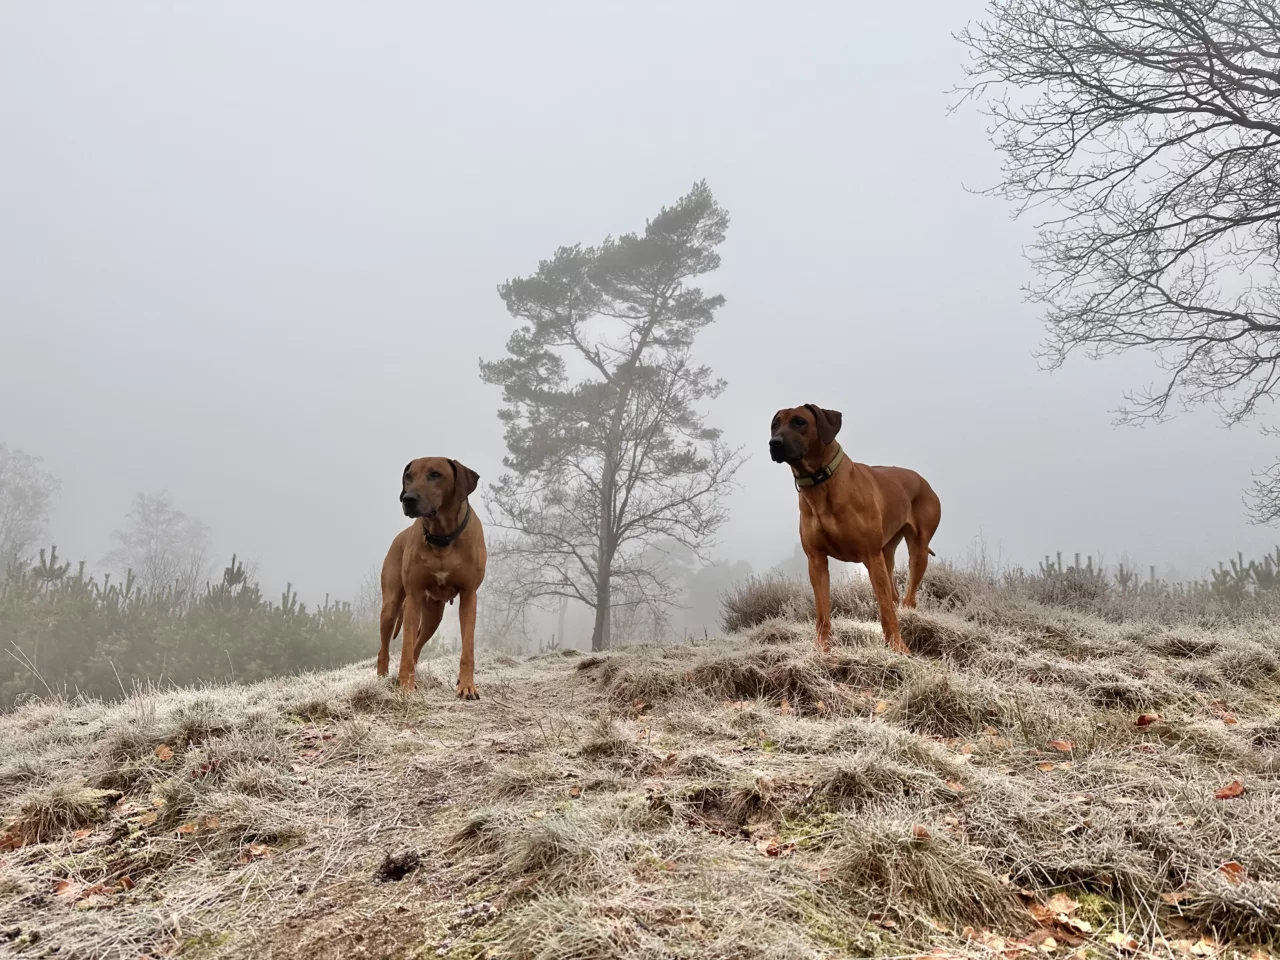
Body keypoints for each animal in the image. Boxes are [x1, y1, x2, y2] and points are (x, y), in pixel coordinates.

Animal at [376, 458, 486, 701]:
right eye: (408, 476)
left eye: (435, 474)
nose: (408, 499)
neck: (442, 536)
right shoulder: (414, 595)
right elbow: (405, 648)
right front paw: (406, 687)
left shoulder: (469, 595)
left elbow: (468, 649)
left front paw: (466, 686)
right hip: (392, 605)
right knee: (385, 648)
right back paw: (383, 679)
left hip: (434, 615)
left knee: (418, 643)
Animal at [768, 407, 942, 655]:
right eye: (775, 424)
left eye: (799, 422)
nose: (774, 443)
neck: (821, 485)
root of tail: (923, 481)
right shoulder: (816, 560)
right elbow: (822, 613)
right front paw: (821, 649)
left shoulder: (870, 556)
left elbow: (886, 612)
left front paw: (898, 649)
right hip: (886, 552)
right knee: (893, 591)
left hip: (917, 550)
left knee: (908, 596)